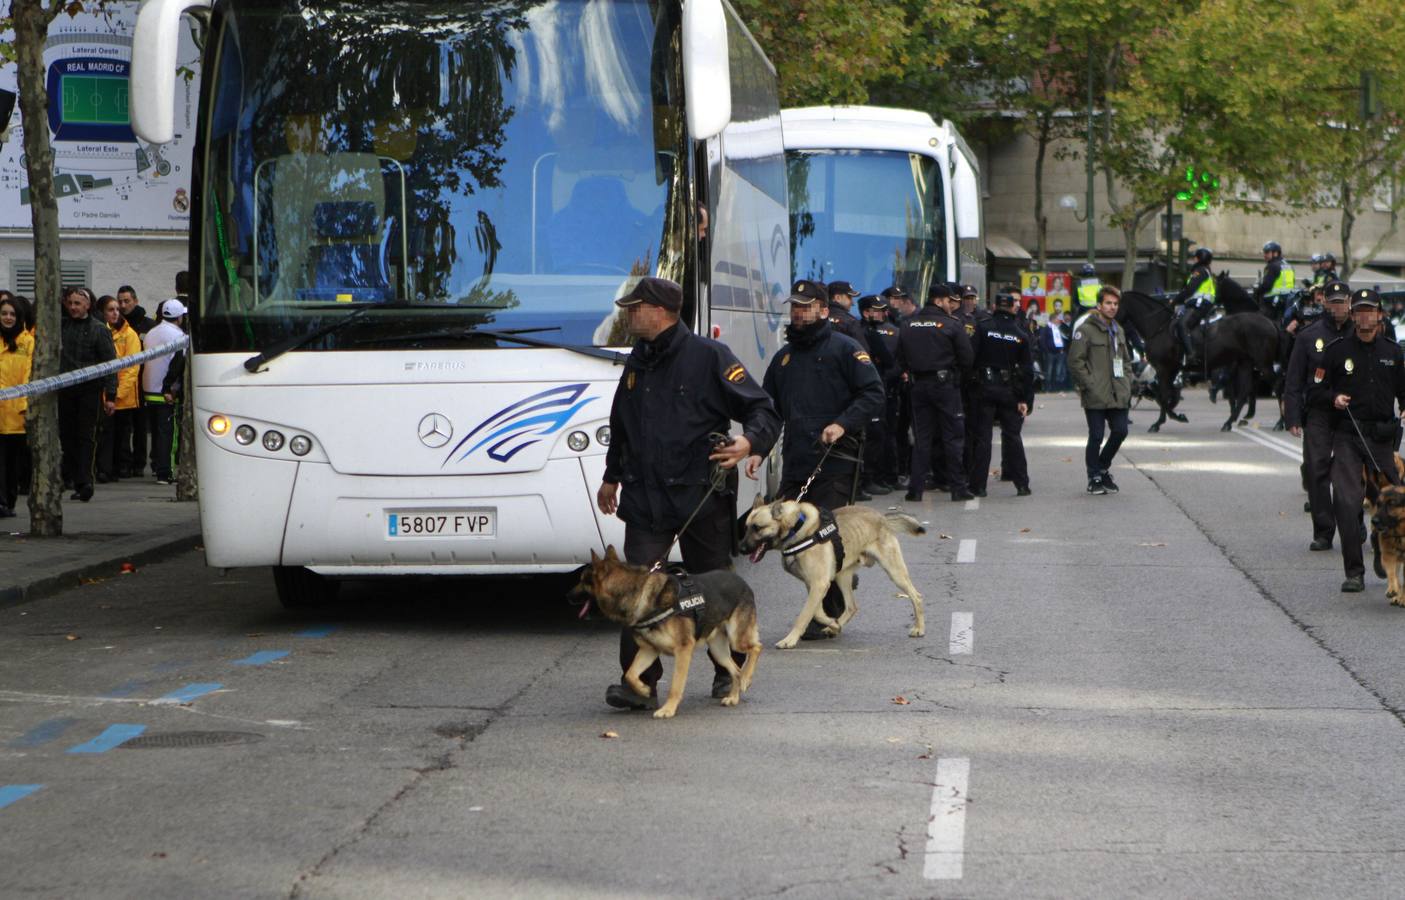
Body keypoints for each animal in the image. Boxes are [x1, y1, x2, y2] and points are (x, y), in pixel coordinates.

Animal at [570, 544, 764, 718]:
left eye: (582, 580)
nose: (567, 595)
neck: (637, 593)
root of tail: (742, 581)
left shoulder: (683, 650)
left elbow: (675, 686)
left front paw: (668, 709)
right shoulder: (649, 650)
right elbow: (631, 673)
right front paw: (643, 690)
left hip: (736, 639)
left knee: (756, 648)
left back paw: (747, 678)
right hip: (718, 650)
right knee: (735, 670)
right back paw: (733, 697)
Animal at [741, 499, 927, 645]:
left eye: (757, 528)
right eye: (746, 527)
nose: (741, 549)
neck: (796, 528)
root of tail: (881, 517)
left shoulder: (819, 584)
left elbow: (804, 615)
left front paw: (790, 639)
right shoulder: (814, 585)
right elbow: (816, 612)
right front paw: (833, 624)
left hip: (894, 572)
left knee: (916, 596)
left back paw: (919, 628)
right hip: (841, 576)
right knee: (852, 606)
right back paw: (836, 627)